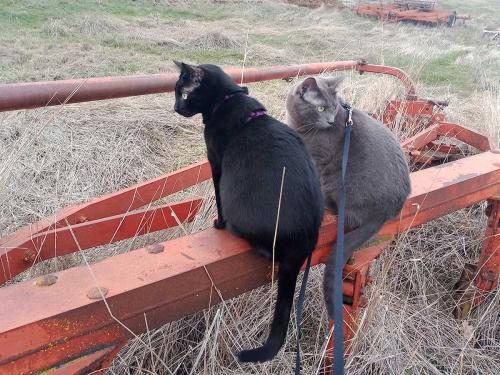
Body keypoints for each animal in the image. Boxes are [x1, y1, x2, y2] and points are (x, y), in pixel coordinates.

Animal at [173, 62, 324, 364]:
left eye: (182, 94)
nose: (175, 107)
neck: (228, 99)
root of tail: (303, 240)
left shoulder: (216, 162)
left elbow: (217, 197)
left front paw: (218, 224)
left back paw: (232, 228)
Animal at [286, 76, 410, 320]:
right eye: (321, 108)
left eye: (333, 108)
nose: (331, 121)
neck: (302, 125)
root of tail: (385, 213)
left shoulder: (318, 160)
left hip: (338, 182)